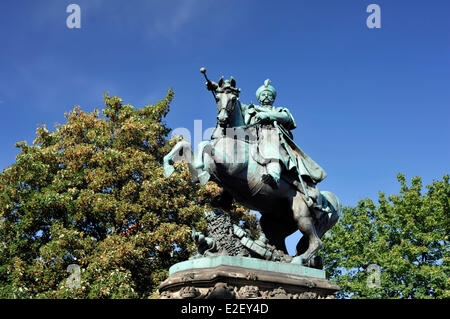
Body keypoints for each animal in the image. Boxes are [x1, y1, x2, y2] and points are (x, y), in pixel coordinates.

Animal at [163, 77, 340, 268]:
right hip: (273, 222)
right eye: (217, 97)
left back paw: (298, 260)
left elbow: (204, 147)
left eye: (233, 98)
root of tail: (327, 200)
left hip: (301, 214)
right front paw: (168, 164)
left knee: (316, 242)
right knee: (280, 243)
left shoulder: (230, 166)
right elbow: (185, 146)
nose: (222, 119)